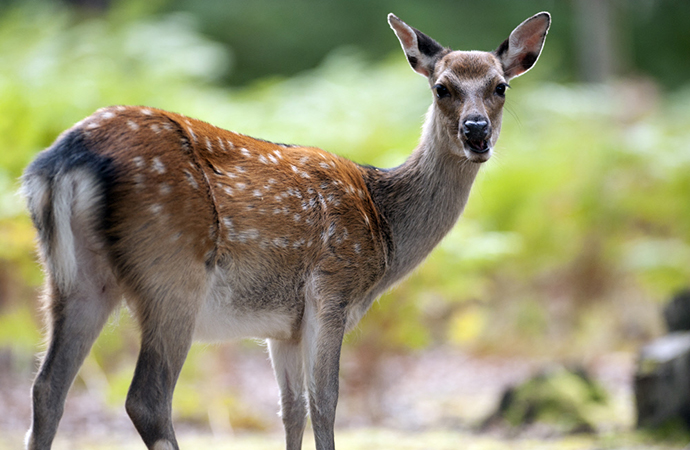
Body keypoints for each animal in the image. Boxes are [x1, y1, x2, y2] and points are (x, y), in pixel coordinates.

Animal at [21, 10, 548, 450]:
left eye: (501, 86)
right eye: (442, 87)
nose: (476, 132)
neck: (383, 228)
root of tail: (64, 157)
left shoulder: (281, 326)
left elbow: (291, 408)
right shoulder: (332, 290)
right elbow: (326, 402)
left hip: (73, 278)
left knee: (47, 388)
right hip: (172, 270)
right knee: (146, 398)